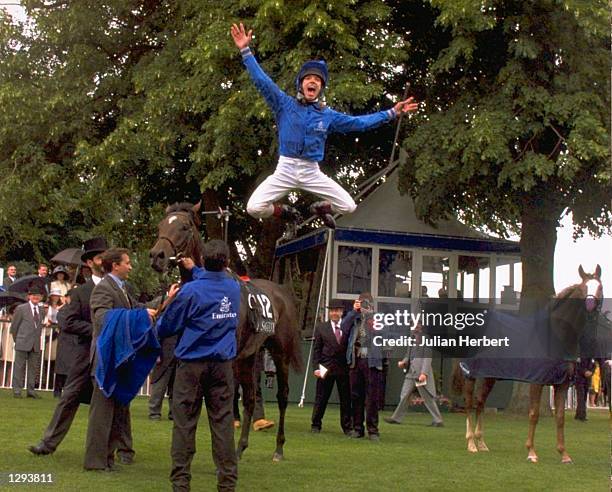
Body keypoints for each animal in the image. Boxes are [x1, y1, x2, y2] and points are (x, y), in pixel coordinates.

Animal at [148, 201, 302, 462]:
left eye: (185, 227)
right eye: (160, 225)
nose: (157, 256)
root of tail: (283, 292)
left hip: (279, 353)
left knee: (282, 396)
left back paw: (278, 448)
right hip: (249, 356)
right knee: (250, 398)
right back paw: (240, 447)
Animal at [452, 266, 604, 462]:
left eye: (600, 287)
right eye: (583, 289)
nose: (591, 308)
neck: (555, 336)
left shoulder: (562, 384)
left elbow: (560, 417)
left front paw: (564, 454)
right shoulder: (536, 381)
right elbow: (534, 414)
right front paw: (531, 452)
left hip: (489, 376)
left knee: (480, 403)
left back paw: (482, 443)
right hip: (470, 375)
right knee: (470, 403)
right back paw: (471, 443)